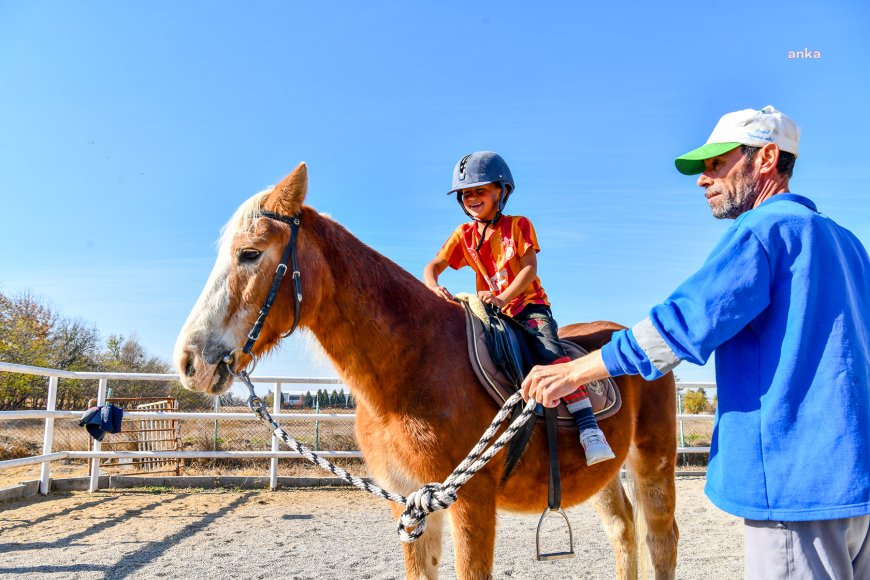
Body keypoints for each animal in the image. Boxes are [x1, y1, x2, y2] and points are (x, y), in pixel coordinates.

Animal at [175, 164, 680, 580]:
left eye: (249, 253)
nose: (189, 361)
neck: (414, 365)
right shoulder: (413, 501)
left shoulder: (471, 503)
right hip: (606, 476)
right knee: (623, 532)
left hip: (653, 461)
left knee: (660, 539)